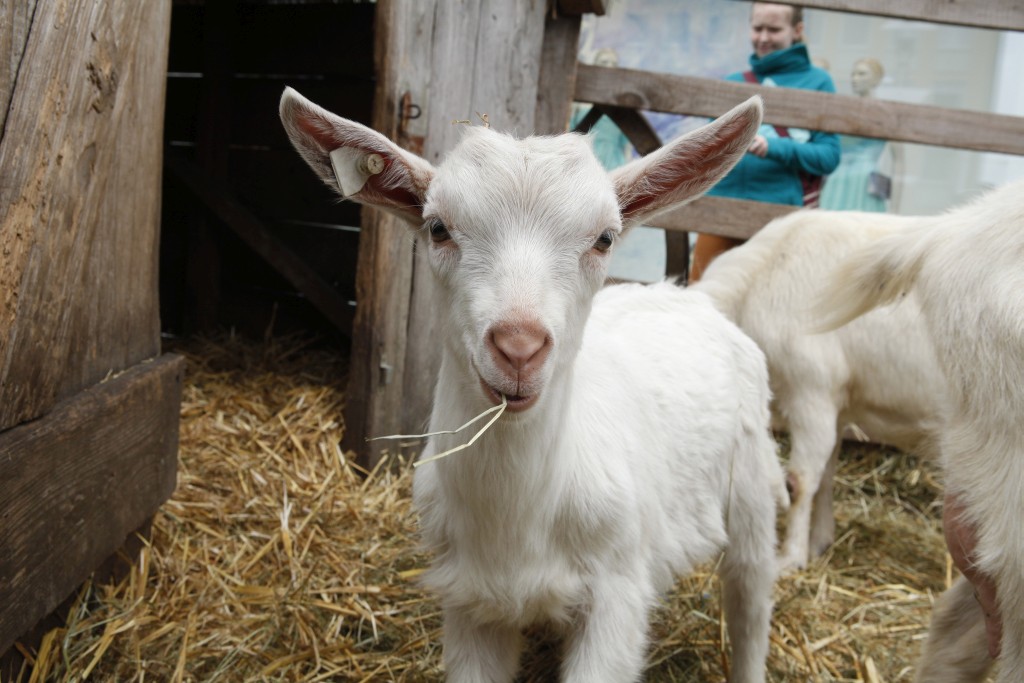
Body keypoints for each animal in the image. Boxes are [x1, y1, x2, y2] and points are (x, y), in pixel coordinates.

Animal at [279, 87, 788, 683]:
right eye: (438, 228)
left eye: (605, 238)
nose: (519, 348)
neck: (515, 519)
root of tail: (687, 293)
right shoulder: (470, 604)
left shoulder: (616, 596)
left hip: (752, 490)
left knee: (750, 602)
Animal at [690, 210, 948, 573]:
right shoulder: (836, 406)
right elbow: (826, 475)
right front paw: (819, 542)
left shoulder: (812, 393)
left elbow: (800, 482)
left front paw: (790, 557)